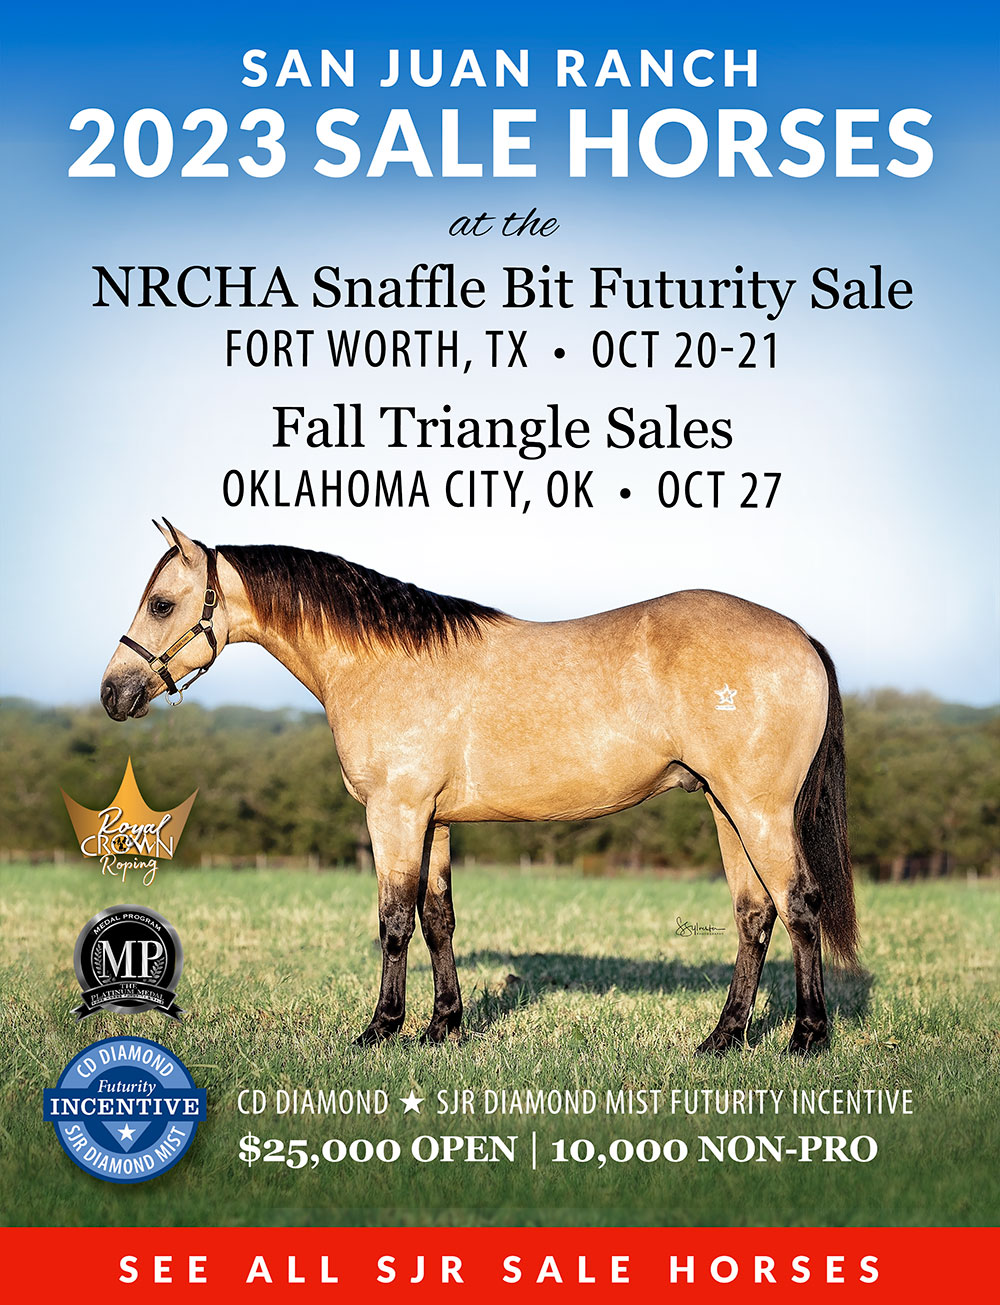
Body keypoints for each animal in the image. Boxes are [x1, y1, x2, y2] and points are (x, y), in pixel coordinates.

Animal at [101, 519, 858, 1054]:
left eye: (162, 603)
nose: (113, 692)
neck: (383, 663)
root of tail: (799, 635)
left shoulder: (395, 813)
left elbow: (394, 921)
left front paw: (381, 1029)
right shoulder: (432, 820)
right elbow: (437, 919)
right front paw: (444, 1027)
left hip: (759, 811)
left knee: (800, 905)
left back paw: (806, 1038)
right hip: (726, 808)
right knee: (755, 915)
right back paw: (722, 1039)